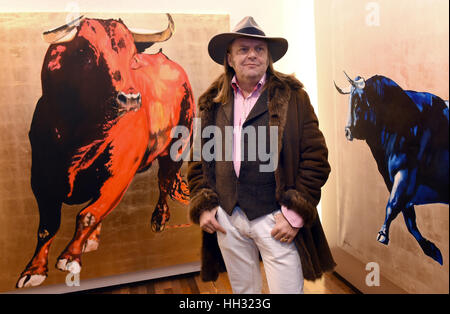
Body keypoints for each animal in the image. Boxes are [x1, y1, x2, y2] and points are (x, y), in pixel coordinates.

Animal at [334, 73, 446, 264]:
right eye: (349, 100)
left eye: (359, 102)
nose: (347, 132)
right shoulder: (391, 178)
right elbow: (409, 219)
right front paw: (431, 249)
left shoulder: (406, 174)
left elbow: (393, 205)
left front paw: (383, 234)